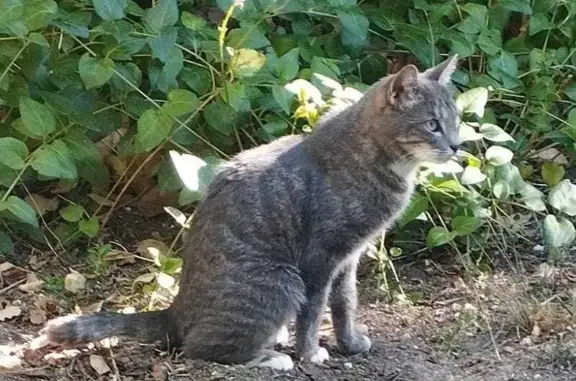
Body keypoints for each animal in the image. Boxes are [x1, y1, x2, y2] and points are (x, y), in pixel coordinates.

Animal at [41, 55, 460, 370]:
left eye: (456, 122)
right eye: (432, 125)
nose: (458, 145)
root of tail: (174, 313)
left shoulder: (348, 256)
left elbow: (345, 303)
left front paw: (351, 342)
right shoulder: (321, 257)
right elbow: (314, 311)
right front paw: (310, 353)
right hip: (280, 282)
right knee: (201, 348)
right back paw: (272, 357)